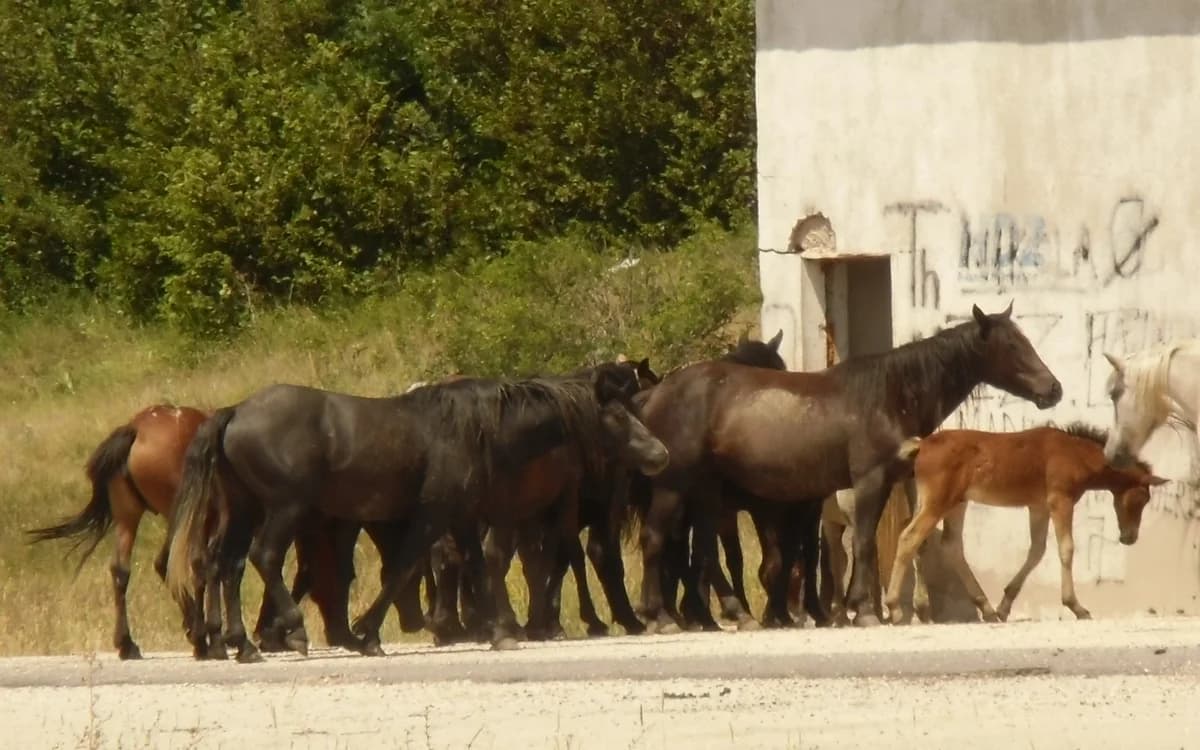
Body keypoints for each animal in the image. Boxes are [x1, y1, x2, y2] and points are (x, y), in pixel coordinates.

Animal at [27, 405, 209, 660]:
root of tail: (136, 429)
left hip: (128, 515)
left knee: (123, 569)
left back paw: (128, 643)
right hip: (177, 517)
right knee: (171, 563)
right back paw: (198, 637)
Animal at [164, 364, 669, 661]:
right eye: (618, 414)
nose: (660, 454)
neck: (473, 429)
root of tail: (234, 412)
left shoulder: (461, 517)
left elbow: (477, 566)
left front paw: (498, 629)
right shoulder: (433, 514)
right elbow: (404, 569)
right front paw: (369, 633)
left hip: (243, 509)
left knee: (226, 564)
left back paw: (241, 643)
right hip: (284, 508)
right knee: (263, 557)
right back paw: (292, 631)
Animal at [634, 303, 1063, 630]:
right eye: (1012, 345)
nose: (1053, 389)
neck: (891, 394)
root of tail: (654, 394)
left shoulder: (893, 482)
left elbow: (888, 542)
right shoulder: (869, 480)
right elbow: (864, 543)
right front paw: (866, 610)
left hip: (708, 493)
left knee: (703, 551)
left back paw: (734, 615)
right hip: (674, 487)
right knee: (655, 539)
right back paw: (660, 617)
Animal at [885, 423, 1167, 623]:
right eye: (1142, 498)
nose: (1129, 537)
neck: (1076, 454)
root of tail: (922, 445)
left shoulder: (1038, 506)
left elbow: (1037, 550)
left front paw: (1004, 606)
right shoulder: (1060, 500)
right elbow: (1066, 548)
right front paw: (1076, 607)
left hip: (954, 503)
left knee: (945, 545)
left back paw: (980, 608)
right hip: (939, 501)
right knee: (910, 537)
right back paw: (894, 608)